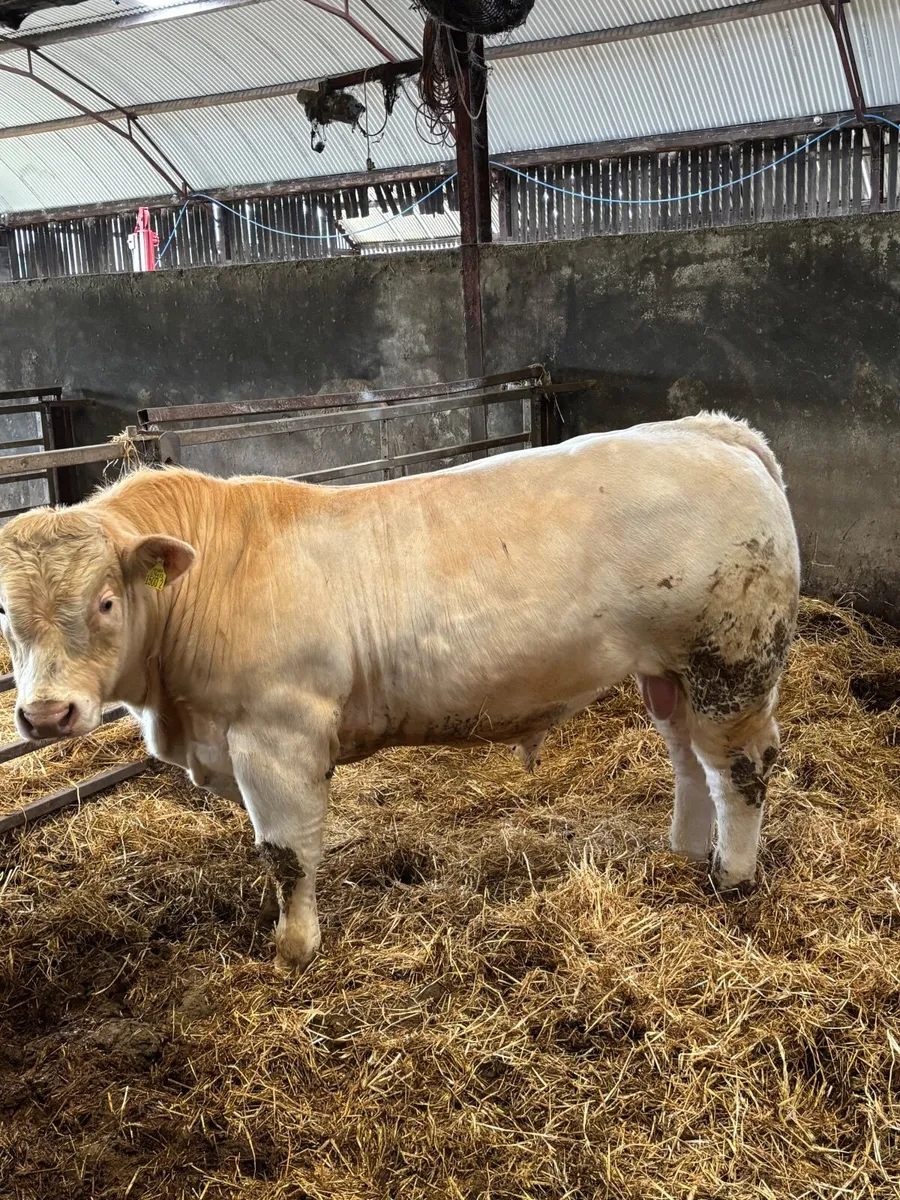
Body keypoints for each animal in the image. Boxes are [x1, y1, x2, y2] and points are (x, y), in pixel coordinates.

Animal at [0, 413, 800, 970]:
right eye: (6, 614)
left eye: (106, 601)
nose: (44, 715)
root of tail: (708, 431)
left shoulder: (278, 735)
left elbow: (286, 852)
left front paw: (294, 949)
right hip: (669, 673)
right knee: (688, 759)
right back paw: (683, 851)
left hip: (732, 660)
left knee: (740, 767)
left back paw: (730, 874)